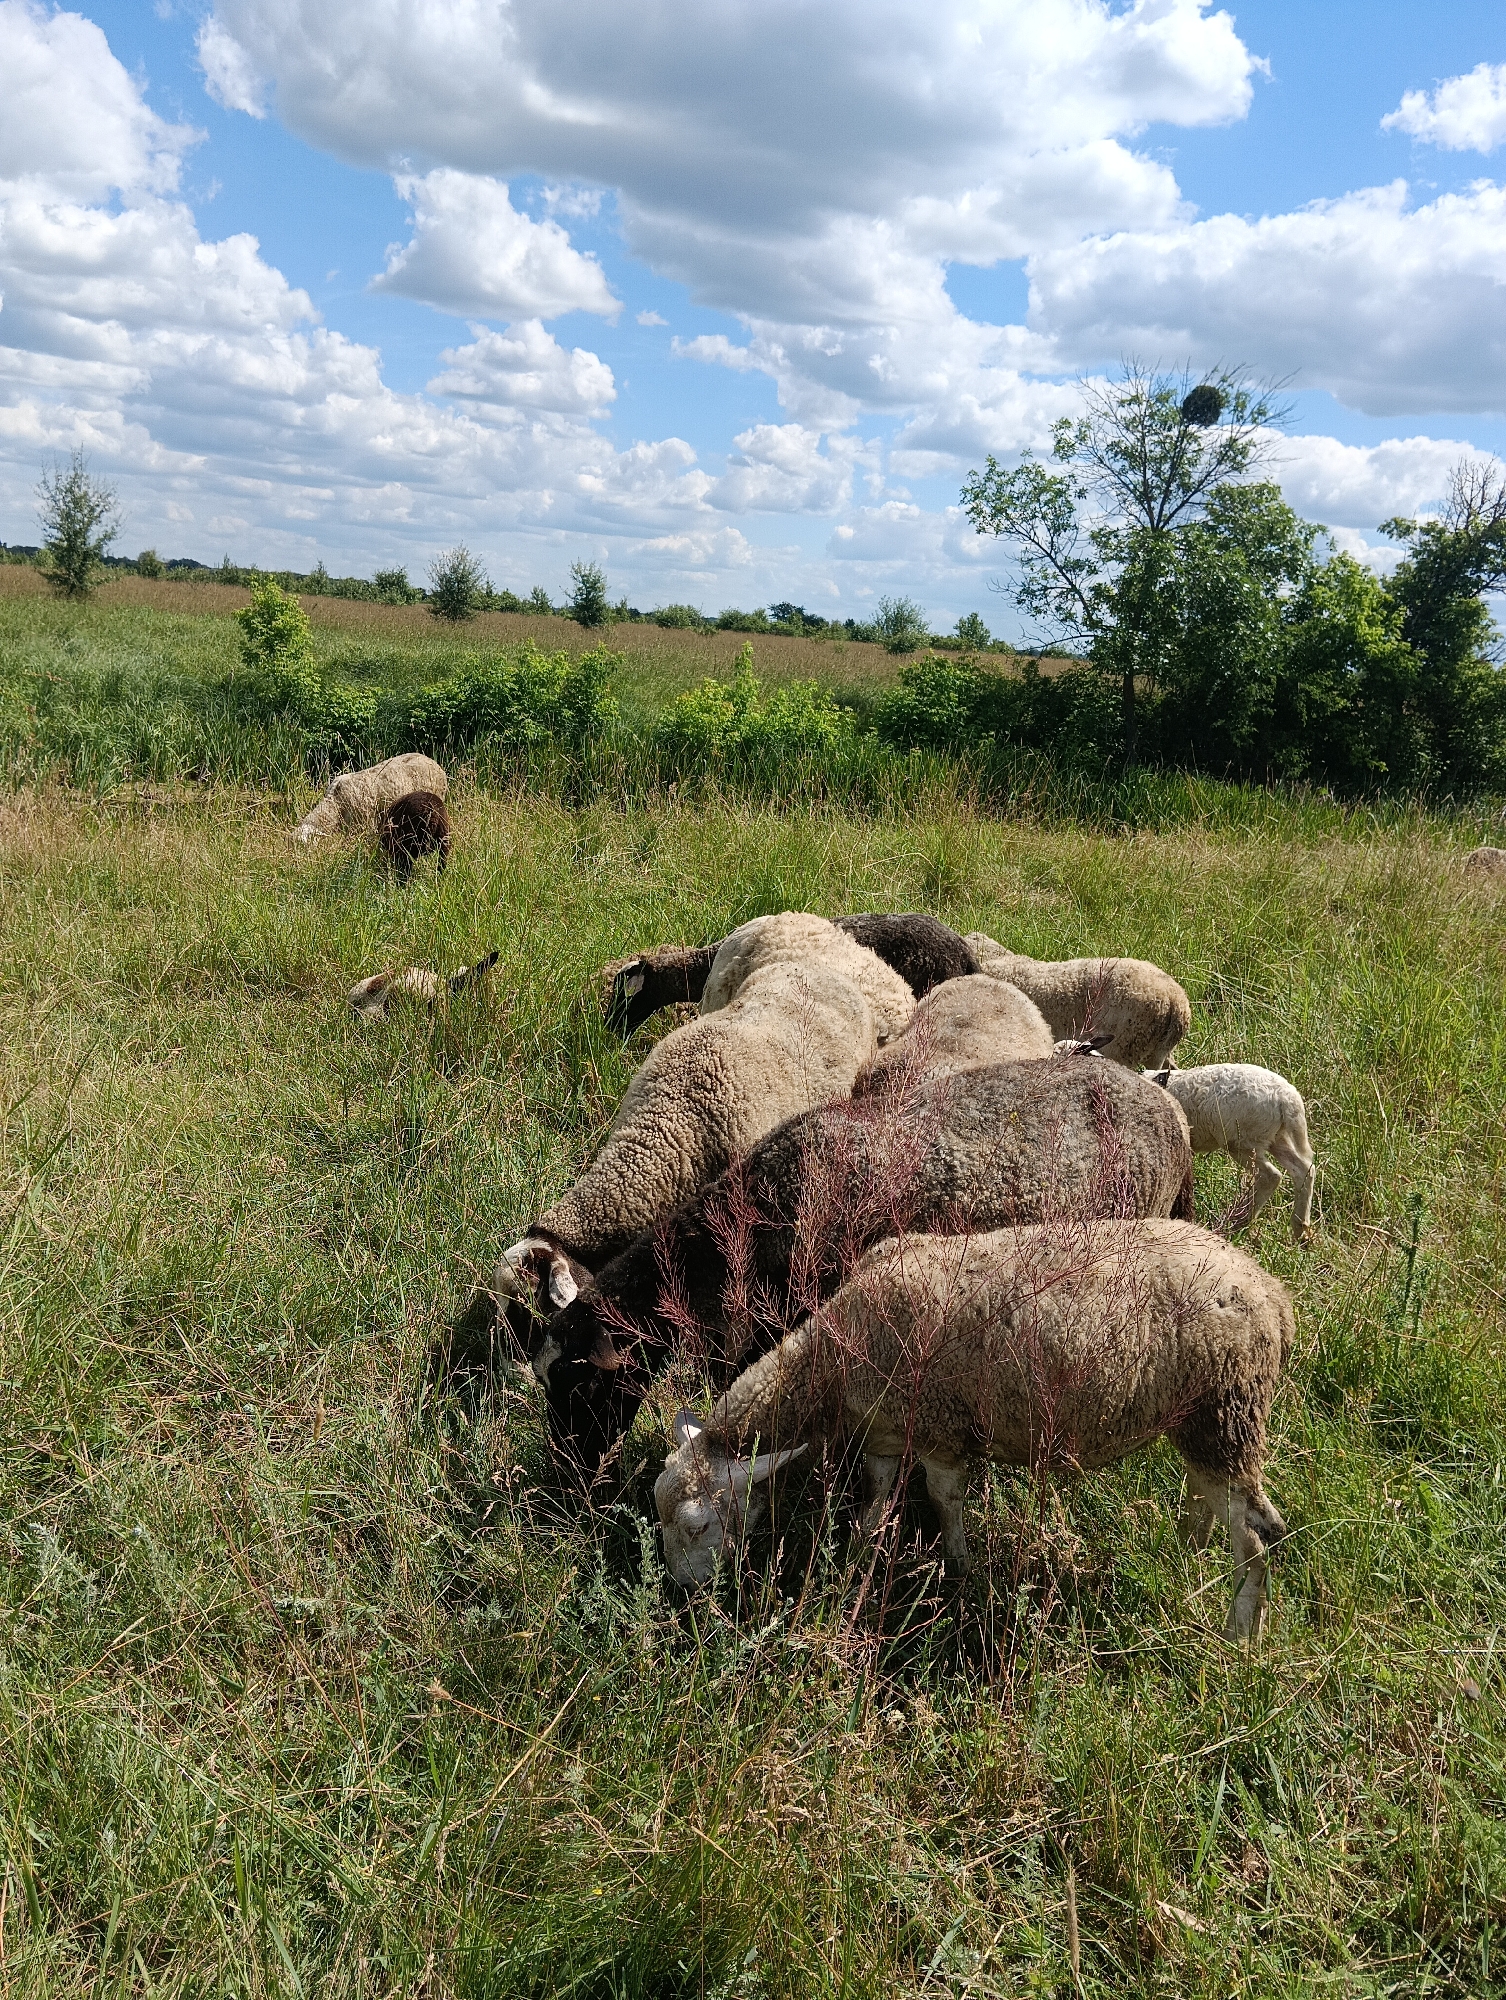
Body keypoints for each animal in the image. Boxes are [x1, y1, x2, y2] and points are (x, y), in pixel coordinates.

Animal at [655, 1218, 1293, 1641]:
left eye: (697, 1525)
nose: (681, 1593)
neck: (831, 1364)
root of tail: (1270, 1291)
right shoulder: (886, 1434)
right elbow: (876, 1497)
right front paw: (857, 1555)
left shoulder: (940, 1429)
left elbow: (943, 1498)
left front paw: (959, 1570)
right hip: (1205, 1418)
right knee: (1212, 1500)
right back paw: (1188, 1555)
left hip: (1225, 1410)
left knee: (1260, 1535)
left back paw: (1240, 1634)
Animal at [1144, 1063, 1315, 1241]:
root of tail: (1288, 1099)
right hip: (1275, 1136)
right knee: (1303, 1169)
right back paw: (1300, 1230)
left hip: (1243, 1139)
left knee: (1270, 1175)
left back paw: (1235, 1222)